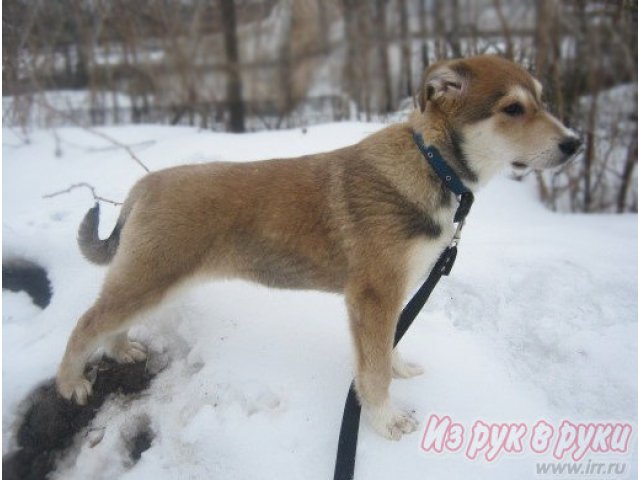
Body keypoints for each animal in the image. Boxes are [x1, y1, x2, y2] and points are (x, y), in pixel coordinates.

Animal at [57, 55, 584, 438]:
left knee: (108, 320)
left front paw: (400, 369)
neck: (432, 163)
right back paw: (70, 382)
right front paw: (387, 421)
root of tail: (144, 186)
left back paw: (122, 350)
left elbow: (388, 347)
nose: (575, 144)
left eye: (542, 100)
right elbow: (373, 373)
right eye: (512, 109)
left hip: (150, 280)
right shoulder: (372, 297)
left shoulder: (391, 299)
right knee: (86, 322)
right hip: (151, 278)